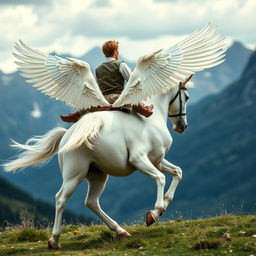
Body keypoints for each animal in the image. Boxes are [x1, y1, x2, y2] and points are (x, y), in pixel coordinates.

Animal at [3, 79, 190, 249]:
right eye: (186, 97)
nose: (182, 126)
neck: (150, 120)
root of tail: (66, 136)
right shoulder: (139, 159)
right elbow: (160, 178)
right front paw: (155, 213)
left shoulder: (156, 160)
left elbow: (178, 172)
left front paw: (165, 203)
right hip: (74, 176)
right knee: (61, 198)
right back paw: (54, 240)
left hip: (98, 175)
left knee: (91, 202)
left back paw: (120, 231)